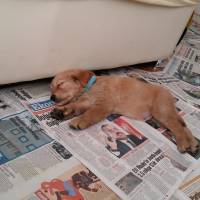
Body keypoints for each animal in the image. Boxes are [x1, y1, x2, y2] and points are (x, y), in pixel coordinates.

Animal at [50, 69, 198, 152]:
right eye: (51, 88)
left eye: (60, 84)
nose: (51, 97)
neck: (91, 86)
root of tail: (170, 95)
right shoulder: (87, 101)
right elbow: (75, 106)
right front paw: (61, 111)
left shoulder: (103, 105)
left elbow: (90, 113)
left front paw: (79, 120)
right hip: (161, 117)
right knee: (183, 126)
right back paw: (193, 144)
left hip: (161, 111)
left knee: (177, 127)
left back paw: (184, 143)